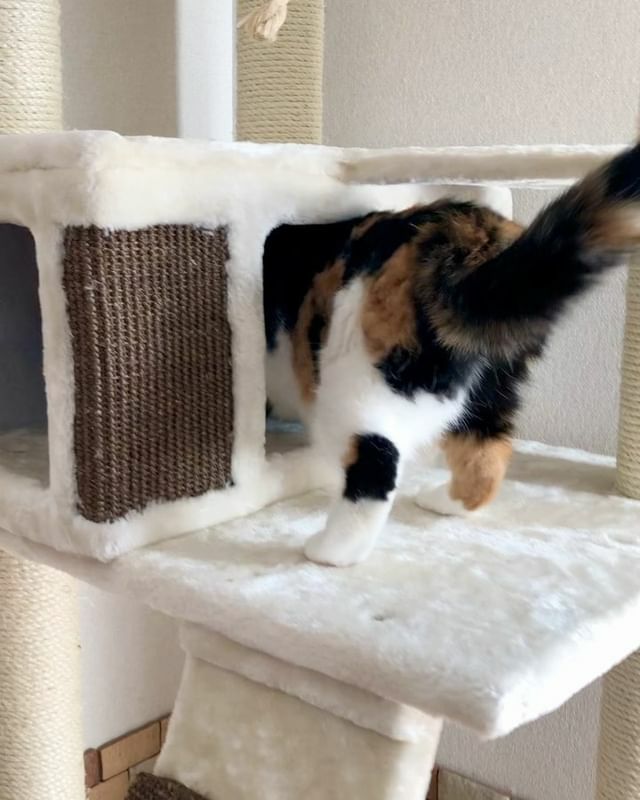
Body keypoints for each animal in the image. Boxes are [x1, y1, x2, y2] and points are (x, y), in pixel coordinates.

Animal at [263, 142, 640, 567]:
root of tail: (466, 241)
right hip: (492, 387)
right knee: (487, 456)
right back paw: (443, 501)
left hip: (355, 379)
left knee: (376, 462)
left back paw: (330, 551)